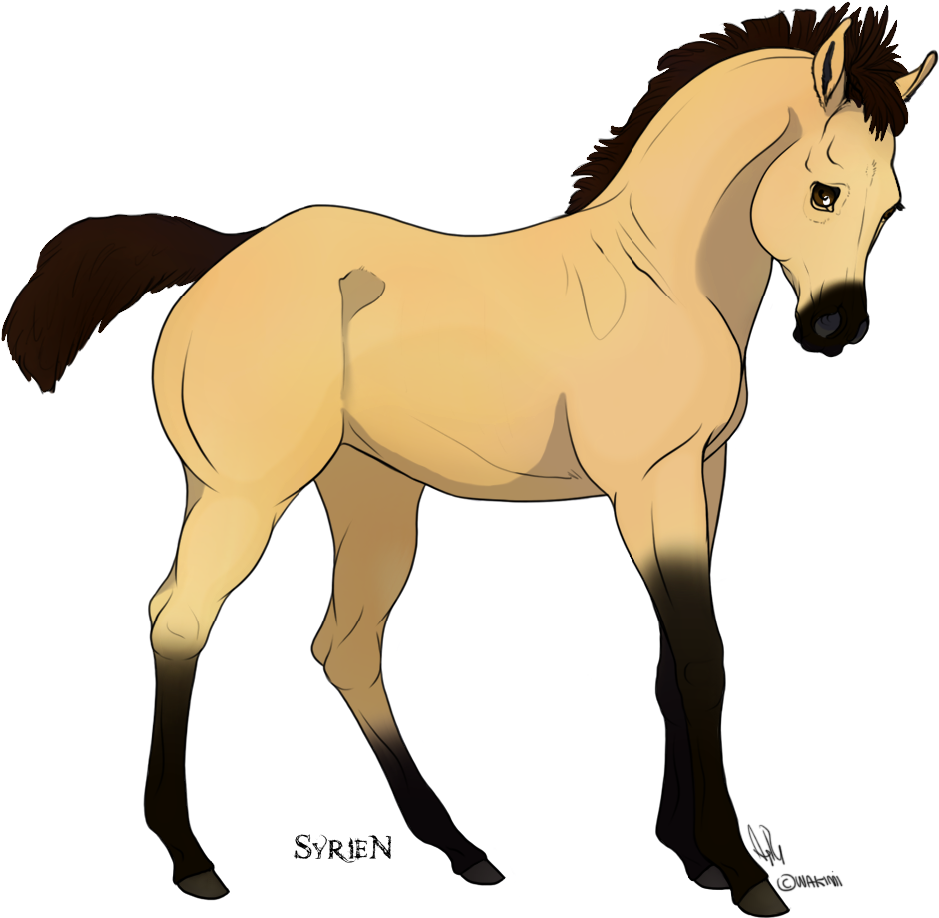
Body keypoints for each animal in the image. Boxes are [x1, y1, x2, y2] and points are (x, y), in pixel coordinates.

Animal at [2, 6, 932, 913]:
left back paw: (464, 854)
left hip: (370, 495)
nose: (835, 328)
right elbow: (700, 657)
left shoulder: (702, 478)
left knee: (344, 644)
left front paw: (690, 857)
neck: (663, 279)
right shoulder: (648, 486)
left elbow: (672, 659)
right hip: (243, 495)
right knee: (181, 620)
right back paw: (193, 861)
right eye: (823, 191)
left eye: (888, 208)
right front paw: (742, 872)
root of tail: (222, 263)